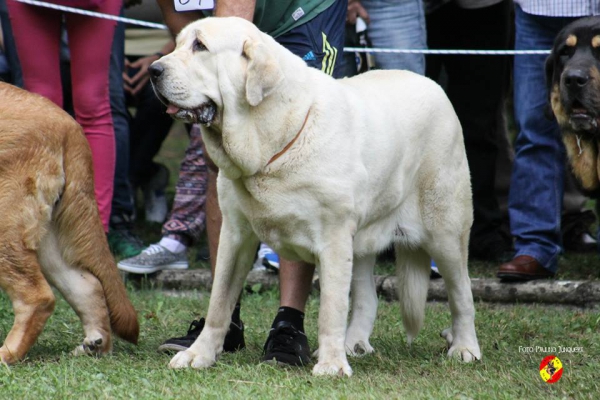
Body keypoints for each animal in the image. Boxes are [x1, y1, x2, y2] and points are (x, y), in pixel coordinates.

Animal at [0, 83, 138, 364]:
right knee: (88, 285)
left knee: (38, 298)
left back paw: (6, 355)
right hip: (49, 239)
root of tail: (69, 126)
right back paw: (95, 345)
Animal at [151, 16, 482, 378]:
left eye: (200, 46)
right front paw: (199, 354)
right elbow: (220, 301)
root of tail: (434, 86)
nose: (154, 69)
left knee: (462, 292)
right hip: (364, 236)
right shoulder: (235, 234)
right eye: (179, 44)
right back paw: (354, 344)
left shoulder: (333, 238)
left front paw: (332, 364)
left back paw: (464, 347)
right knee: (367, 296)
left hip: (445, 232)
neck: (272, 142)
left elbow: (331, 308)